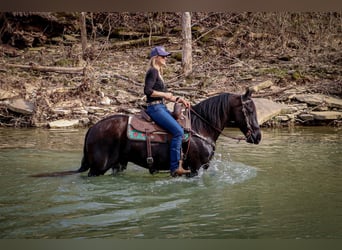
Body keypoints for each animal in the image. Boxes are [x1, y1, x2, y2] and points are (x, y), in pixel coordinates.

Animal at [32, 89, 262, 177]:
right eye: (249, 110)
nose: (258, 137)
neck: (200, 127)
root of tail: (92, 128)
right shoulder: (195, 168)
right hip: (98, 168)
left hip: (118, 164)